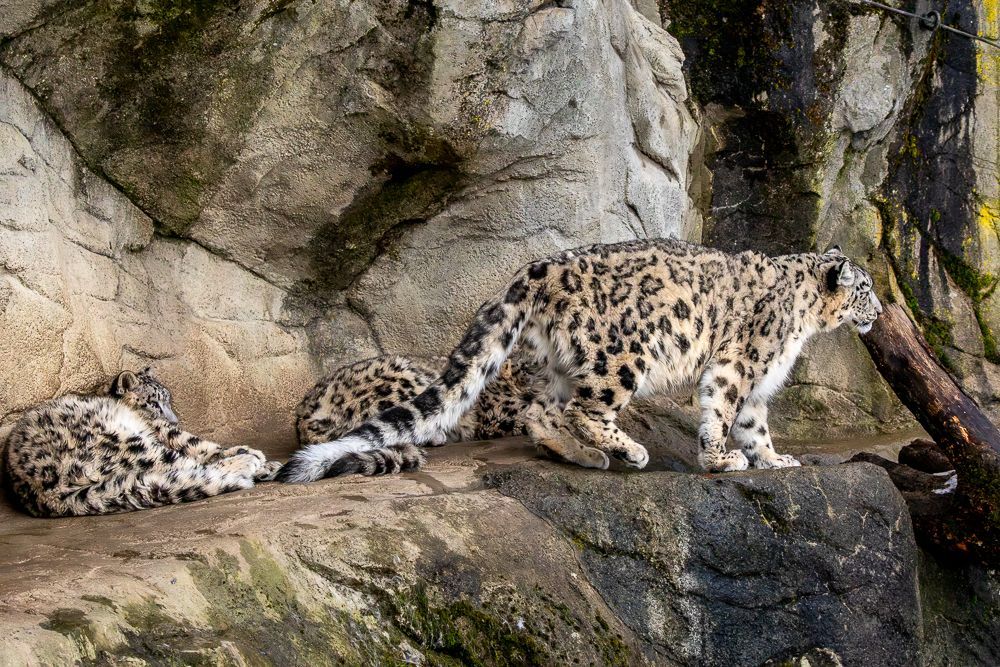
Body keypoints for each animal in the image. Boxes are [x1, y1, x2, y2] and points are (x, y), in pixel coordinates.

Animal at [3, 368, 282, 517]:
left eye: (167, 399)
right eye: (154, 402)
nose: (174, 419)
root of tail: (47, 493)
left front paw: (265, 462)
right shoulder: (165, 431)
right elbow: (201, 446)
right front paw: (256, 457)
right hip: (125, 441)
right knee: (183, 464)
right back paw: (248, 463)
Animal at [277, 238, 881, 484]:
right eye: (865, 288)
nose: (878, 309)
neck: (805, 322)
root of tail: (540, 267)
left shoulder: (760, 380)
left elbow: (754, 424)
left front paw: (774, 460)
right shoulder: (739, 364)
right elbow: (722, 410)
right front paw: (720, 459)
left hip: (556, 363)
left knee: (541, 413)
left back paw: (584, 457)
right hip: (622, 355)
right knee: (584, 410)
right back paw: (627, 450)